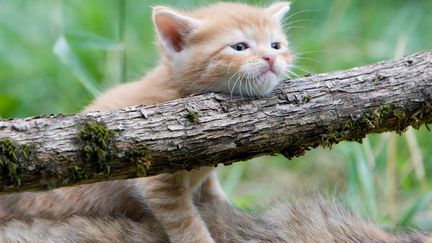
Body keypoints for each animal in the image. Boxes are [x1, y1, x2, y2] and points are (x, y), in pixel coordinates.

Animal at [0, 2, 294, 243]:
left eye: (276, 45)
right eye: (240, 47)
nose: (271, 58)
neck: (179, 91)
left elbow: (215, 198)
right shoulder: (157, 182)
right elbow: (186, 223)